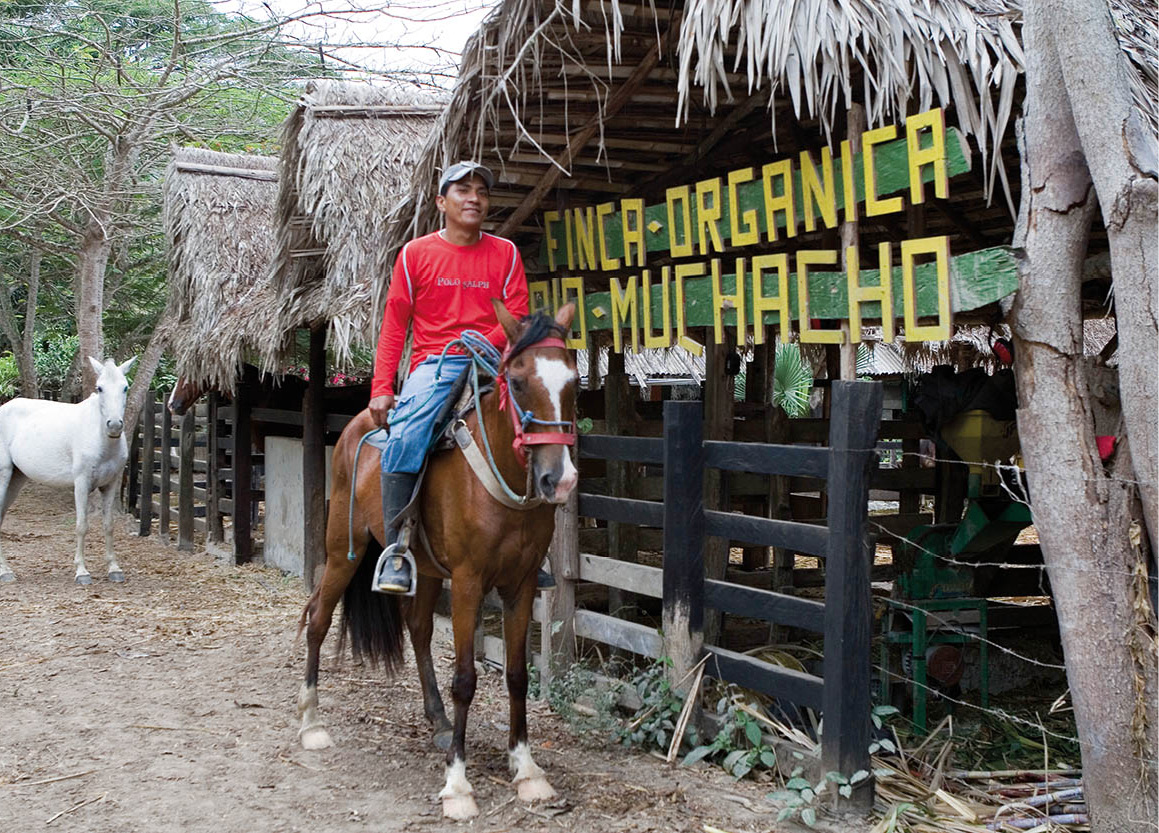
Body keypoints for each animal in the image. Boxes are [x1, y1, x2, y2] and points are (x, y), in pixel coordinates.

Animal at [0, 359, 135, 586]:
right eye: (100, 388)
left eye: (125, 387)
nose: (115, 425)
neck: (99, 438)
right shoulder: (81, 484)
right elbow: (82, 525)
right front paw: (82, 572)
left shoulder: (110, 485)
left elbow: (109, 525)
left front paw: (114, 569)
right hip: (3, 475)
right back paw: (4, 572)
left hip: (16, 479)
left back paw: (6, 570)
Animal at [294, 301, 574, 820]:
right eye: (518, 381)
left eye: (575, 381)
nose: (558, 480)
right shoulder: (467, 582)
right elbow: (465, 678)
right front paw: (458, 785)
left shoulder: (521, 583)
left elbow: (518, 675)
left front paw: (527, 770)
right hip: (344, 549)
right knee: (319, 618)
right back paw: (311, 723)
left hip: (421, 568)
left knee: (419, 628)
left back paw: (438, 720)